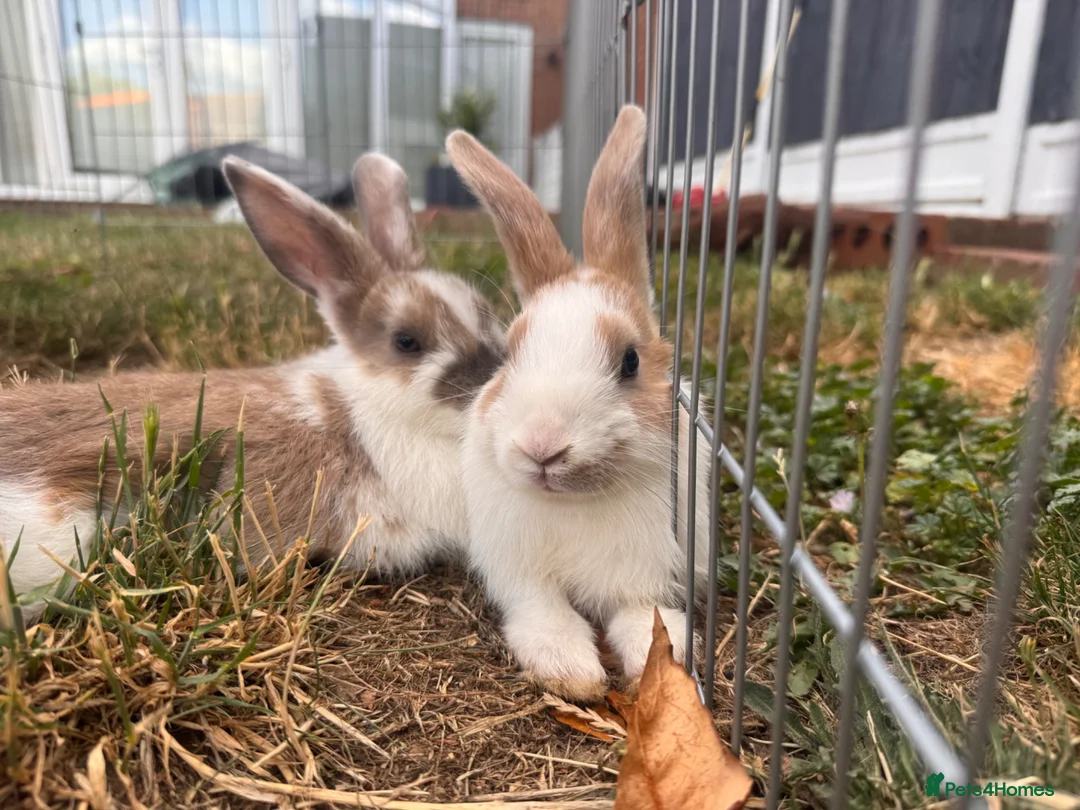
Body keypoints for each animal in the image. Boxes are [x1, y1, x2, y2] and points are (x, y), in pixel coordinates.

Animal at [445, 104, 713, 701]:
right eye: (509, 352)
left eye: (630, 361)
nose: (541, 446)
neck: (576, 503)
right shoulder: (521, 574)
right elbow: (545, 613)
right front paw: (570, 671)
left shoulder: (646, 574)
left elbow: (647, 621)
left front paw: (661, 662)